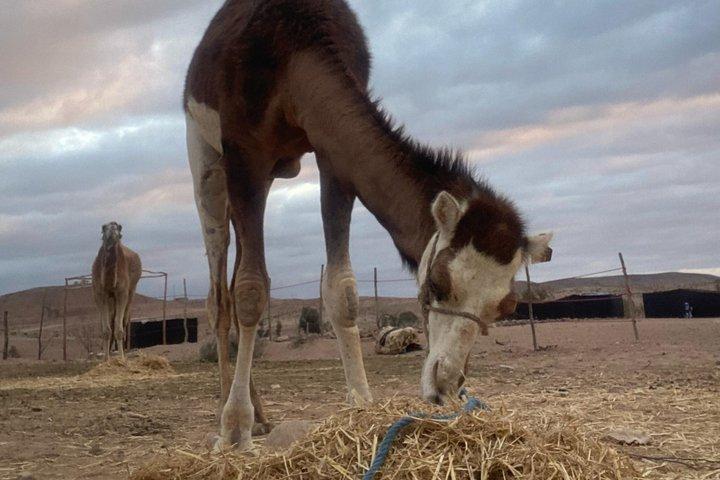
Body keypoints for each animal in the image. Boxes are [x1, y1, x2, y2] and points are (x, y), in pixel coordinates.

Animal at [91, 222, 142, 359]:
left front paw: (121, 359)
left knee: (123, 321)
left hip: (131, 291)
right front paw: (106, 359)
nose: (113, 228)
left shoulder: (121, 293)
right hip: (111, 299)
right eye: (104, 227)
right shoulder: (100, 294)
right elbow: (105, 330)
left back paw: (123, 351)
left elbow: (119, 329)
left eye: (119, 227)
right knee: (112, 320)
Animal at [184, 0, 553, 450]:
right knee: (219, 291)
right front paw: (234, 427)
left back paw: (263, 418)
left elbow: (342, 289)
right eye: (437, 283)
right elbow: (251, 291)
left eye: (508, 306)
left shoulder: (332, 155)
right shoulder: (244, 152)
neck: (292, 49)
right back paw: (231, 413)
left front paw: (361, 405)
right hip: (208, 161)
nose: (447, 384)